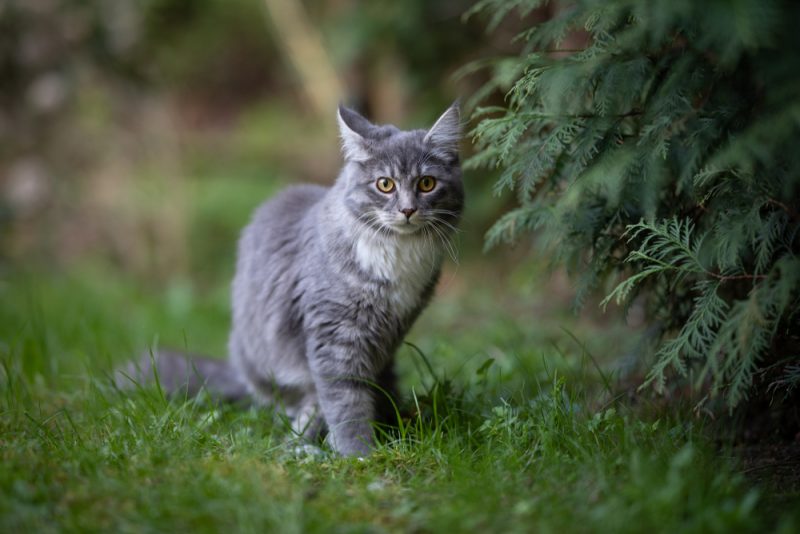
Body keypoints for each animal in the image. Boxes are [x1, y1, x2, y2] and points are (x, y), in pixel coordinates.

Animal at [122, 103, 466, 456]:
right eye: (385, 184)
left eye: (427, 183)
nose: (408, 210)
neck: (398, 255)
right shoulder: (335, 336)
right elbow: (346, 402)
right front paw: (359, 455)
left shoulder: (390, 333)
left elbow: (360, 391)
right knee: (299, 405)